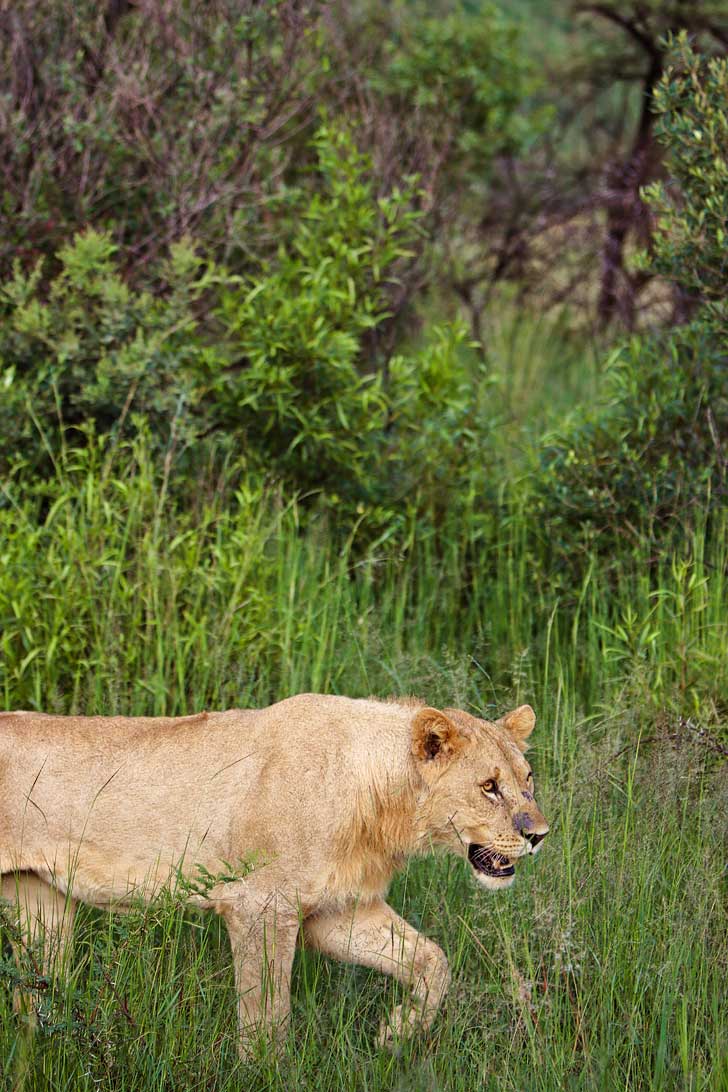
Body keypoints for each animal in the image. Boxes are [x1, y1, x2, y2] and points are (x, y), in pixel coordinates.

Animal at [0, 694, 545, 1052]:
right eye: (489, 787)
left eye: (527, 780)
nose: (540, 834)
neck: (382, 805)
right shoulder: (258, 905)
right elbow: (266, 1014)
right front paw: (265, 1069)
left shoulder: (338, 911)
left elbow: (433, 962)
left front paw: (396, 1032)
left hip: (39, 905)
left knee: (33, 1000)